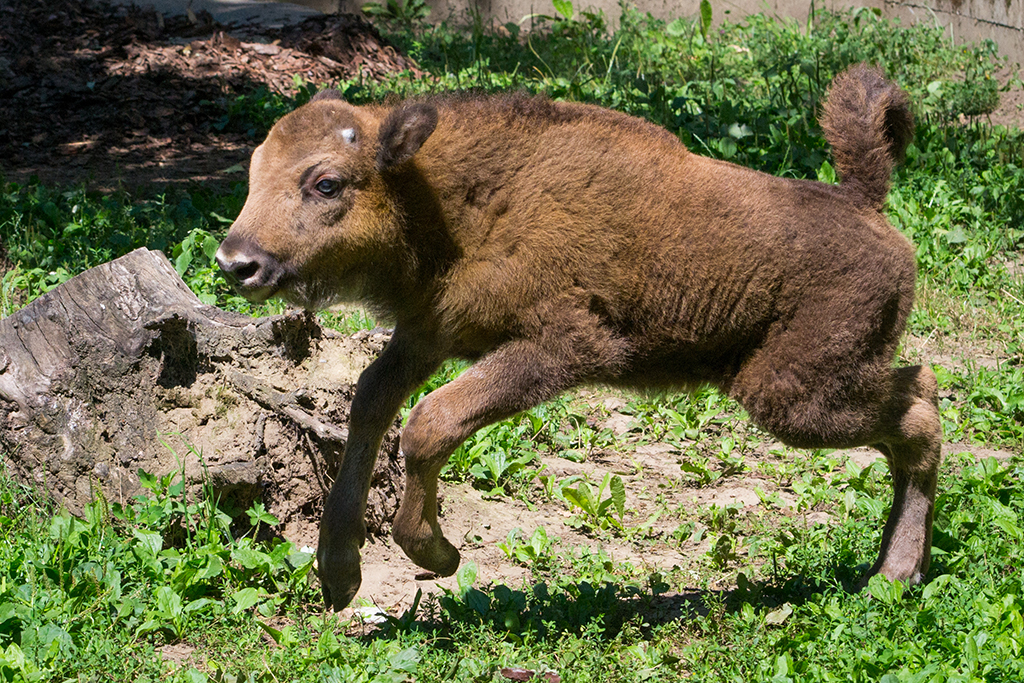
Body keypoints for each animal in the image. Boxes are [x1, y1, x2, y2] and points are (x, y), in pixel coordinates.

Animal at [218, 62, 942, 610]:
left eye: (326, 182)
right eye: (254, 172)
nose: (236, 261)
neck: (449, 198)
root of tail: (862, 205)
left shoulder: (561, 349)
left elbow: (430, 422)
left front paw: (439, 554)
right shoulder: (427, 333)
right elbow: (372, 402)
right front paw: (339, 574)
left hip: (791, 394)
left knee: (921, 410)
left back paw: (894, 574)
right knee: (917, 399)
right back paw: (894, 571)